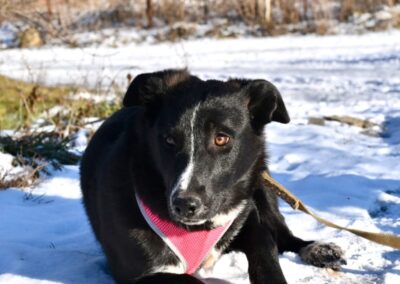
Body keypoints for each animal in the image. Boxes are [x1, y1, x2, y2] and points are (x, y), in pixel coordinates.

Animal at [79, 69, 346, 284]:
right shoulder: (141, 274)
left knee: (283, 234)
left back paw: (317, 248)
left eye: (221, 138)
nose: (184, 205)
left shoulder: (249, 220)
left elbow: (266, 250)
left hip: (262, 182)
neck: (196, 229)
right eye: (169, 140)